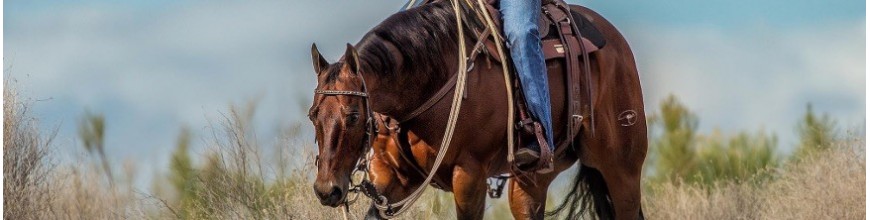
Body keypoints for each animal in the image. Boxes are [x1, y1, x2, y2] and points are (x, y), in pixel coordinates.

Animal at [308, 0, 648, 219]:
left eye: (353, 115)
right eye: (313, 116)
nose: (326, 190)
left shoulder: (469, 175)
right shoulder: (393, 176)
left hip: (622, 169)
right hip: (532, 180)